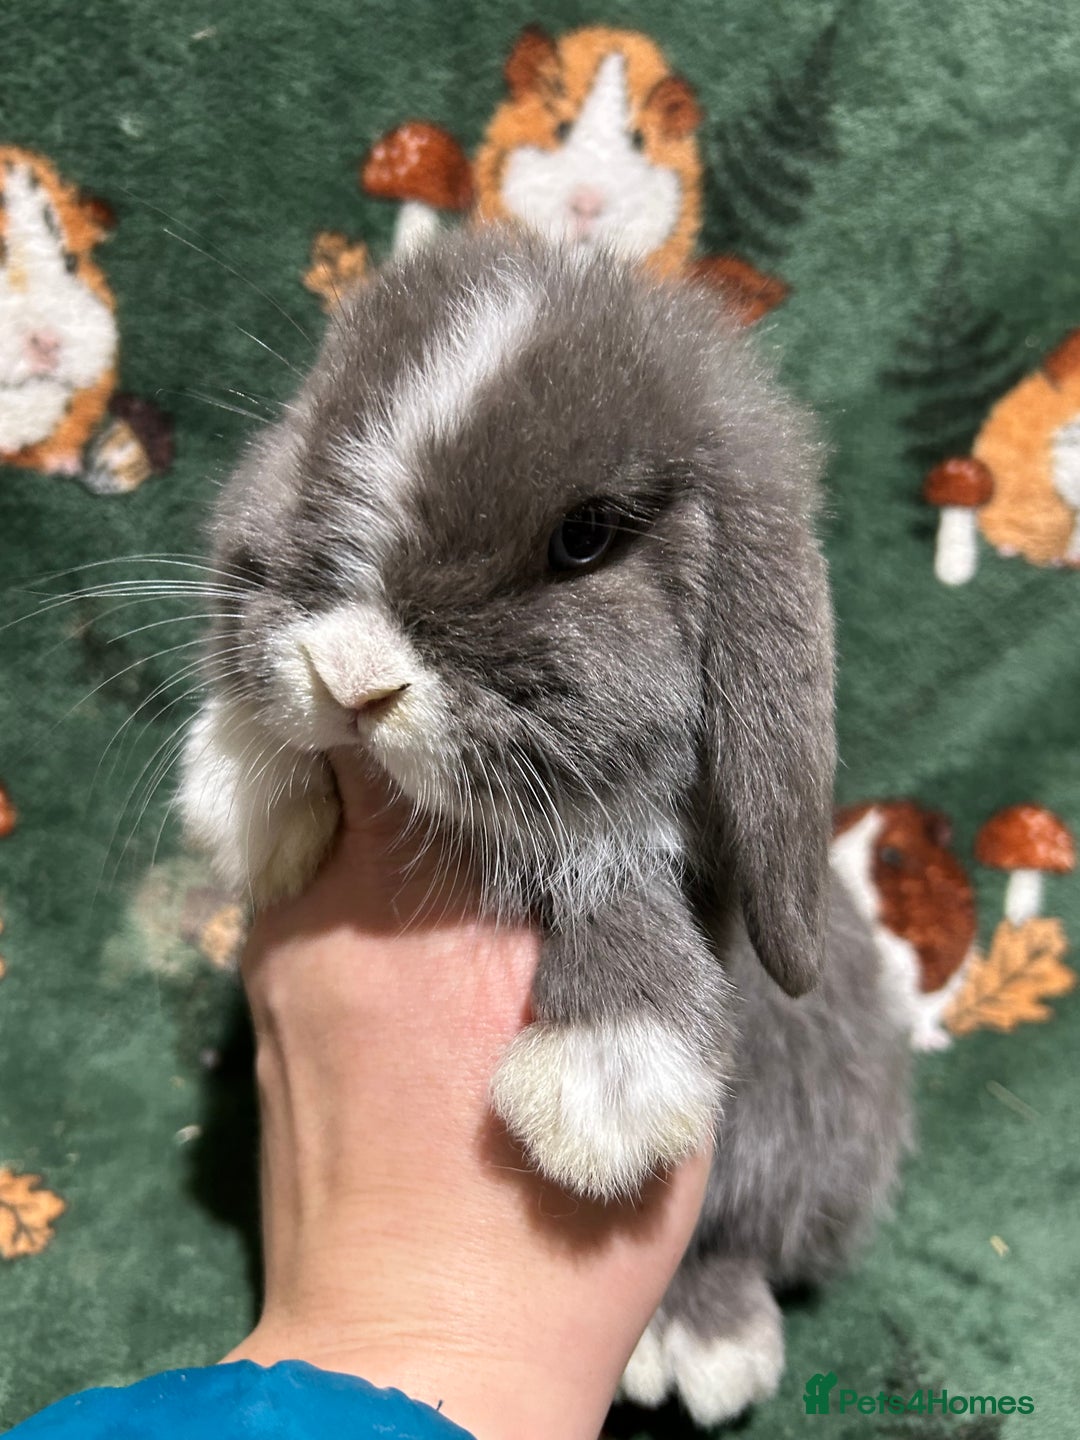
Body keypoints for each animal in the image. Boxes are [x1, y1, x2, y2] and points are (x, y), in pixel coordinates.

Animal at [179, 225, 911, 1425]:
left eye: (585, 538)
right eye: (317, 445)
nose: (354, 677)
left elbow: (621, 874)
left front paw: (603, 1088)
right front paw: (246, 790)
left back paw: (703, 1339)